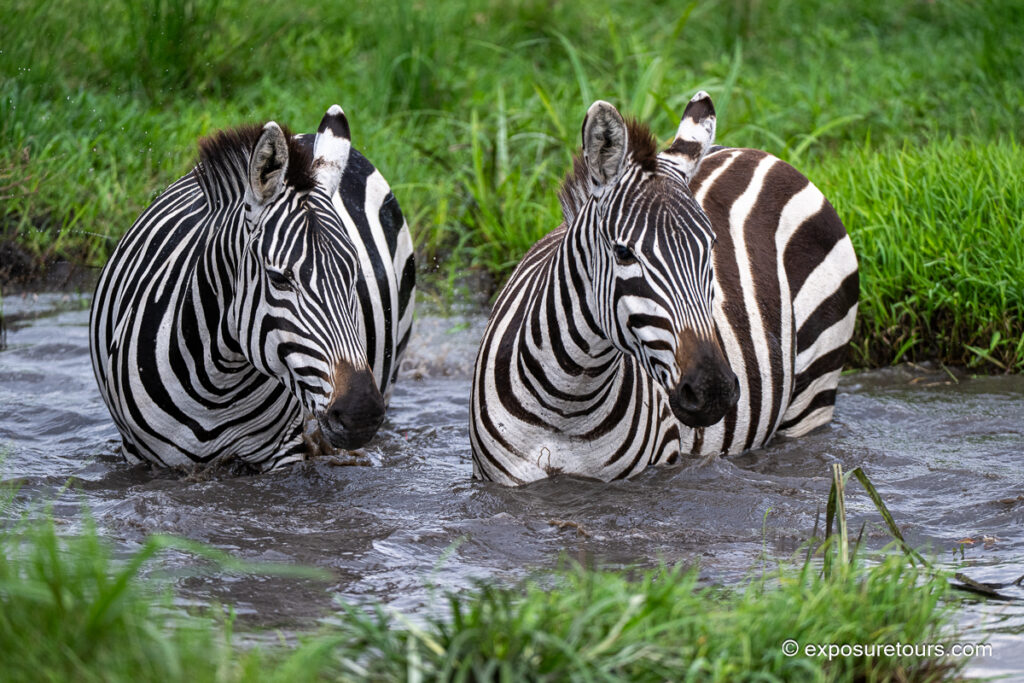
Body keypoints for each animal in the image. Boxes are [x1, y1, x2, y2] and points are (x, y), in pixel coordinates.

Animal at [90, 105, 415, 471]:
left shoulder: (284, 452)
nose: (361, 413)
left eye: (353, 275)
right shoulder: (138, 456)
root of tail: (305, 136)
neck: (217, 386)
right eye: (278, 279)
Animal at [470, 92, 858, 485]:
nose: (712, 390)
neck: (567, 405)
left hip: (814, 389)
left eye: (710, 249)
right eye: (623, 252)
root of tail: (759, 153)